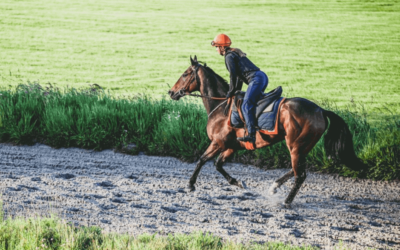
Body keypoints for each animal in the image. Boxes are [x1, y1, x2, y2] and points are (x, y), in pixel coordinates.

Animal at [167, 55, 368, 206]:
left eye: (185, 74)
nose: (171, 92)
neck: (221, 105)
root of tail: (320, 110)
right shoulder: (231, 146)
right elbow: (218, 164)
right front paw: (239, 183)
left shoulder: (218, 142)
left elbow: (202, 160)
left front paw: (190, 185)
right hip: (302, 147)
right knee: (296, 169)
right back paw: (274, 186)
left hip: (296, 145)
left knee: (300, 175)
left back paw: (286, 202)